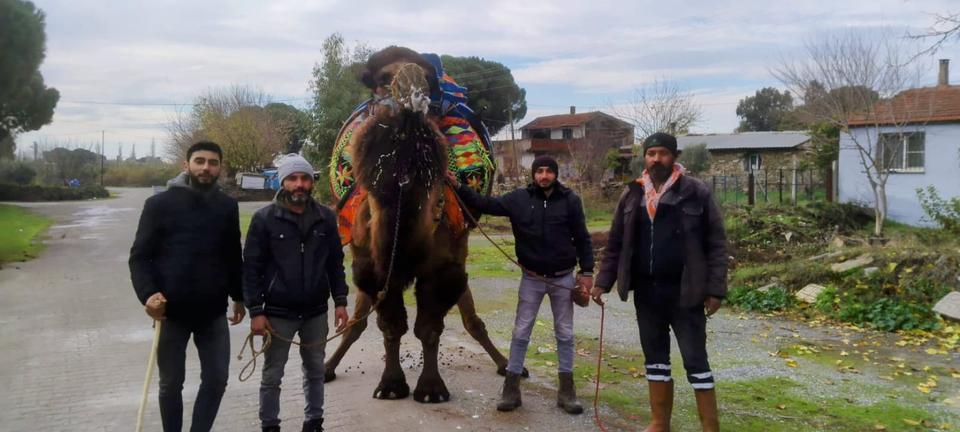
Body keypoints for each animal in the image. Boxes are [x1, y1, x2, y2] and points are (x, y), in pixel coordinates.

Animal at [322, 47, 520, 402]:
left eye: (427, 78)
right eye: (382, 79)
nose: (414, 86)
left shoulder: (444, 264)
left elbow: (429, 329)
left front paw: (430, 389)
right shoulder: (371, 264)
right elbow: (390, 326)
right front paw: (390, 385)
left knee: (471, 319)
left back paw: (506, 364)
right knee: (357, 321)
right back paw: (328, 367)